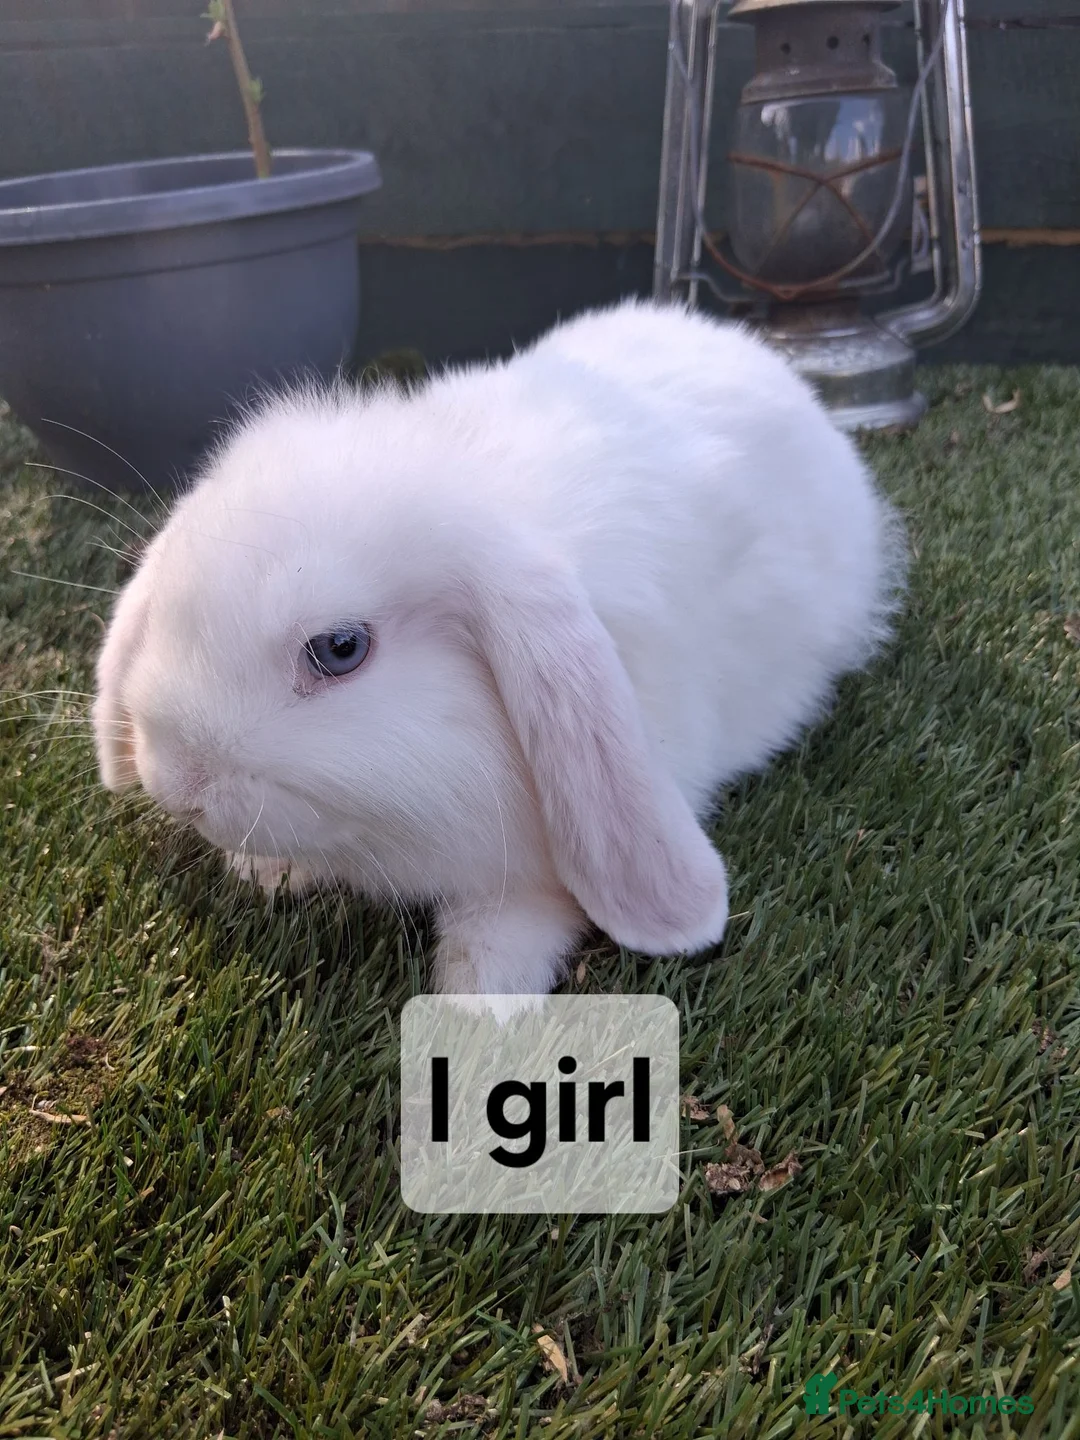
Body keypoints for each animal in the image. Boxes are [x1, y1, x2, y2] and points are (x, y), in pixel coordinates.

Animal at [92, 297, 904, 996]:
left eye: (341, 649)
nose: (178, 785)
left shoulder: (534, 874)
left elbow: (504, 940)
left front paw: (473, 1017)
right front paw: (266, 870)